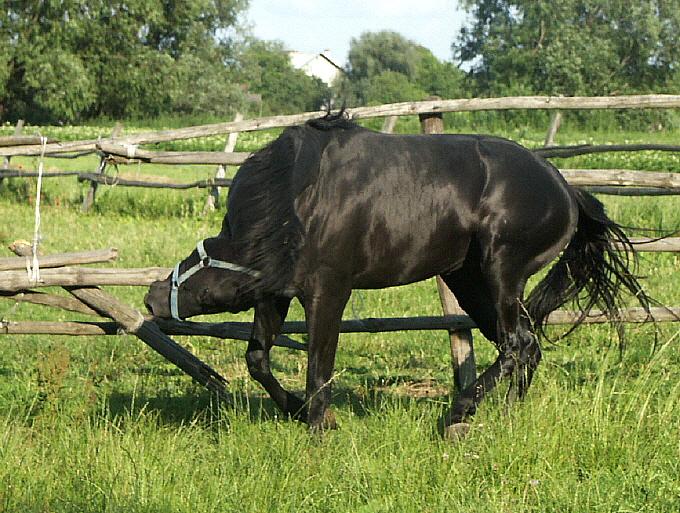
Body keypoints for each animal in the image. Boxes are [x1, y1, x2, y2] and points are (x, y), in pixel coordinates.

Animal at [145, 113, 648, 436]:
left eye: (203, 255)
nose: (152, 297)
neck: (297, 198)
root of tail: (564, 187)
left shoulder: (328, 291)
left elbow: (318, 367)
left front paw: (320, 424)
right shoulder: (275, 291)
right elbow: (257, 359)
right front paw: (297, 409)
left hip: (501, 274)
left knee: (515, 343)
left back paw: (458, 414)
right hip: (470, 283)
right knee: (526, 344)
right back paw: (506, 416)